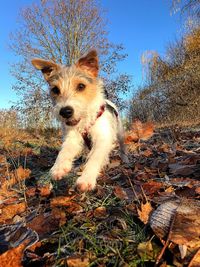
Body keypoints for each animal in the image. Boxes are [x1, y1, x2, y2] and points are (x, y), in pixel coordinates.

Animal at [31, 50, 127, 193]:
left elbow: (95, 157)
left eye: (81, 86)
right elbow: (64, 152)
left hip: (119, 133)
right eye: (55, 90)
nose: (65, 112)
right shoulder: (72, 138)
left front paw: (86, 178)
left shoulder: (103, 138)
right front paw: (59, 167)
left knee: (122, 146)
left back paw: (125, 159)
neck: (85, 121)